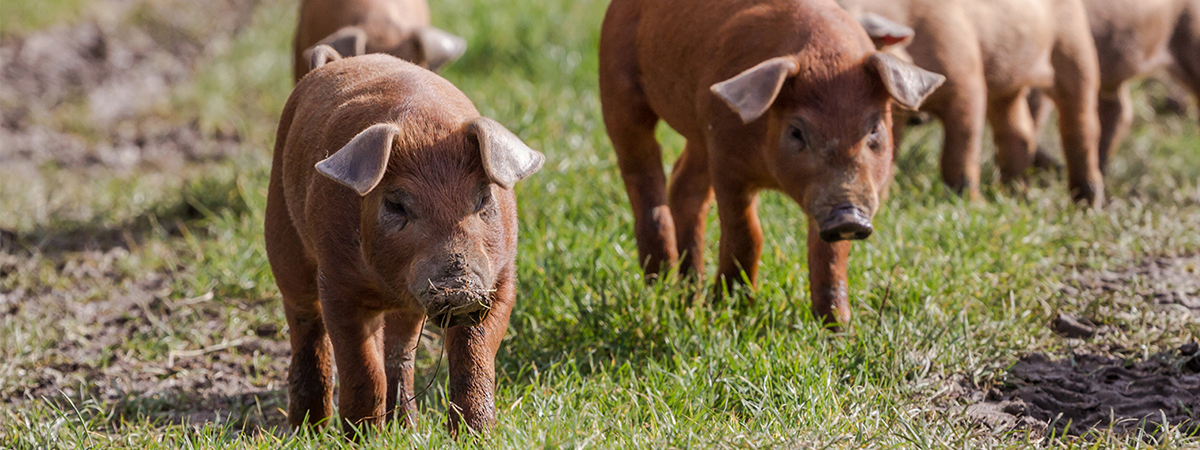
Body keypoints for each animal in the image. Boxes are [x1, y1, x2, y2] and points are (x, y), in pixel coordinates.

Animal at [267, 48, 544, 436]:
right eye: (396, 205)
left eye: (483, 199)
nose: (457, 285)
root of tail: (330, 63)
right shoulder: (337, 282)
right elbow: (362, 368)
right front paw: (362, 438)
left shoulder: (501, 281)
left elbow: (474, 359)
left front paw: (476, 434)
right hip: (281, 232)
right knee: (306, 324)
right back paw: (308, 429)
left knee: (400, 351)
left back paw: (407, 428)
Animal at [595, 0, 940, 328]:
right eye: (797, 131)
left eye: (873, 130)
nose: (848, 216)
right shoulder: (726, 160)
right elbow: (747, 232)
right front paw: (730, 309)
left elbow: (829, 253)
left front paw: (838, 329)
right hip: (616, 84)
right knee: (642, 174)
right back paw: (661, 285)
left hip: (699, 134)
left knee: (683, 184)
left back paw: (689, 290)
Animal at [835, 0, 1104, 206]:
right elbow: (888, 155)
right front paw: (884, 203)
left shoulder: (967, 79)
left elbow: (959, 149)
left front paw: (968, 203)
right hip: (1008, 86)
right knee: (1017, 131)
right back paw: (1014, 196)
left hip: (1074, 48)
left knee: (1081, 125)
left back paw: (1088, 204)